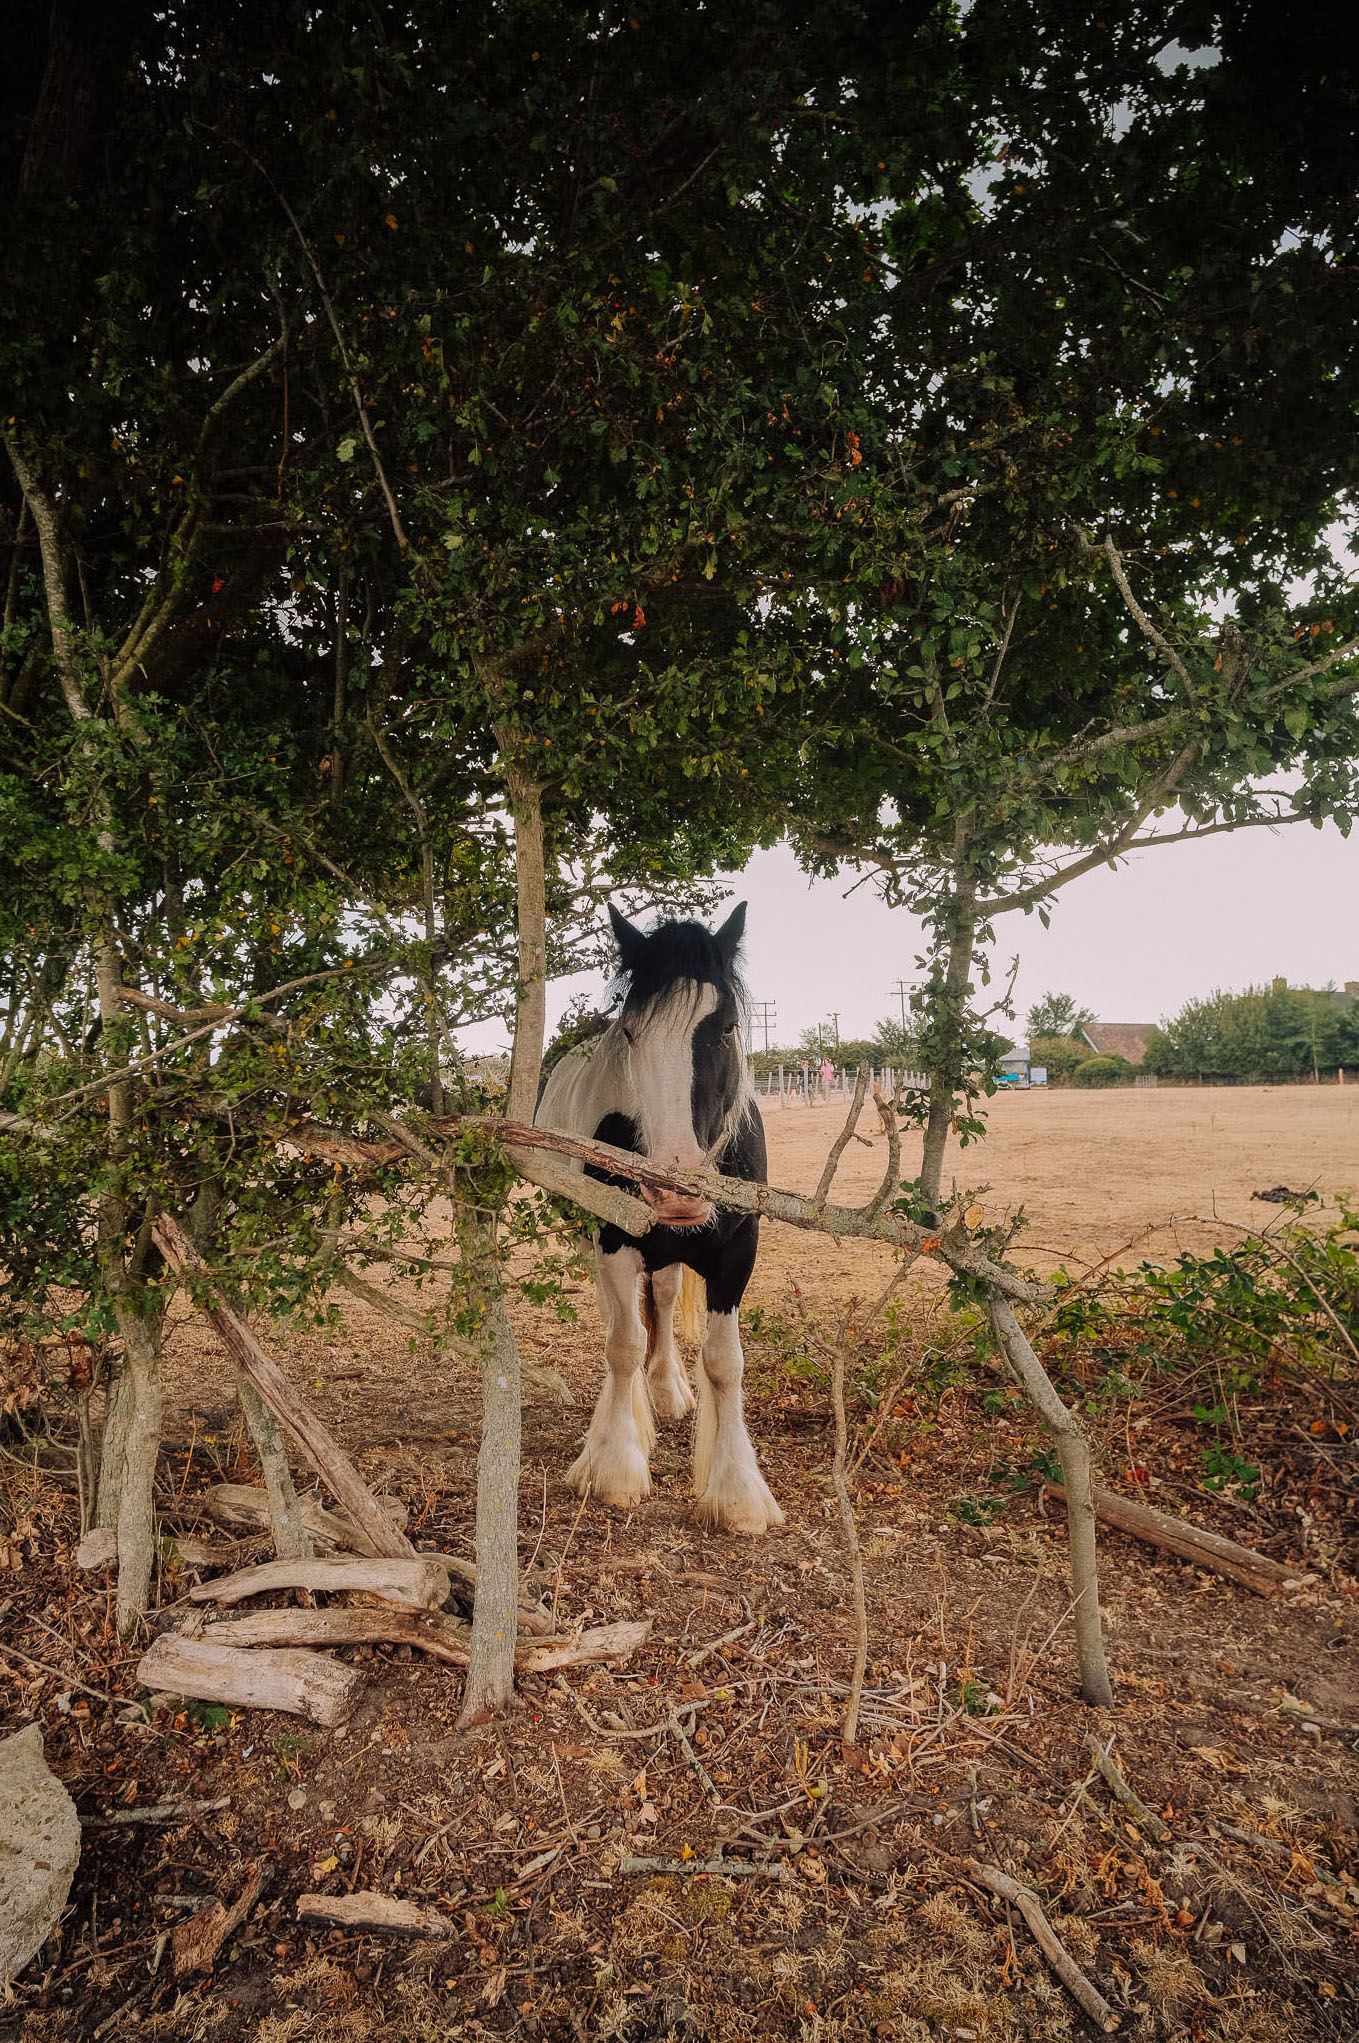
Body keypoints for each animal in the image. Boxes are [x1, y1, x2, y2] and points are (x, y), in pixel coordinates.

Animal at [534, 901, 783, 1536]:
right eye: (629, 1032)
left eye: (726, 1026)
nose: (675, 1189)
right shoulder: (614, 1239)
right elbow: (624, 1344)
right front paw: (614, 1465)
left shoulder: (738, 1251)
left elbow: (724, 1363)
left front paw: (737, 1490)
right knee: (619, 1320)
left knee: (665, 1300)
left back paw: (667, 1389)